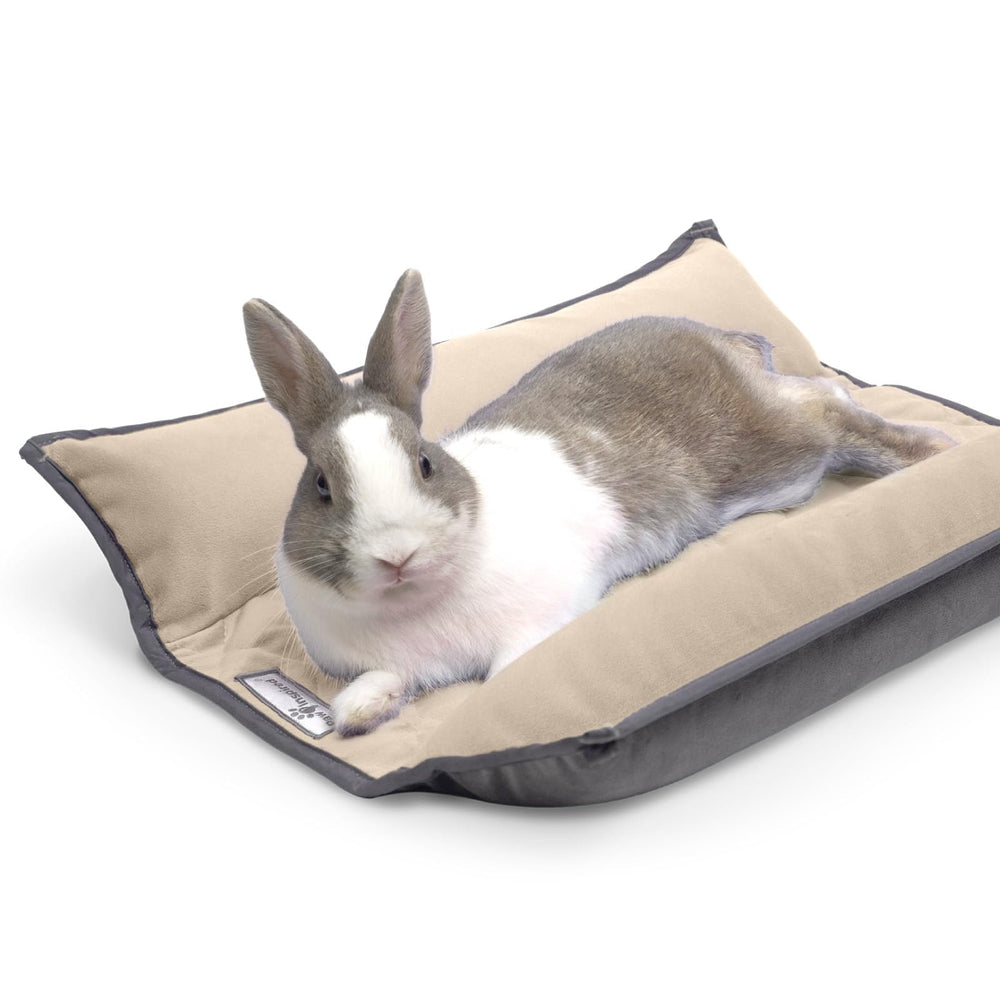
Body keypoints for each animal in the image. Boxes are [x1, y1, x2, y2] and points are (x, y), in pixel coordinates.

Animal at [243, 270, 955, 736]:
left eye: (424, 462)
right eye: (321, 486)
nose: (397, 554)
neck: (413, 603)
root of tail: (722, 341)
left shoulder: (542, 622)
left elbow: (505, 677)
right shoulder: (390, 665)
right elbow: (372, 689)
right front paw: (358, 715)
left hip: (776, 460)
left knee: (829, 406)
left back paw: (934, 449)